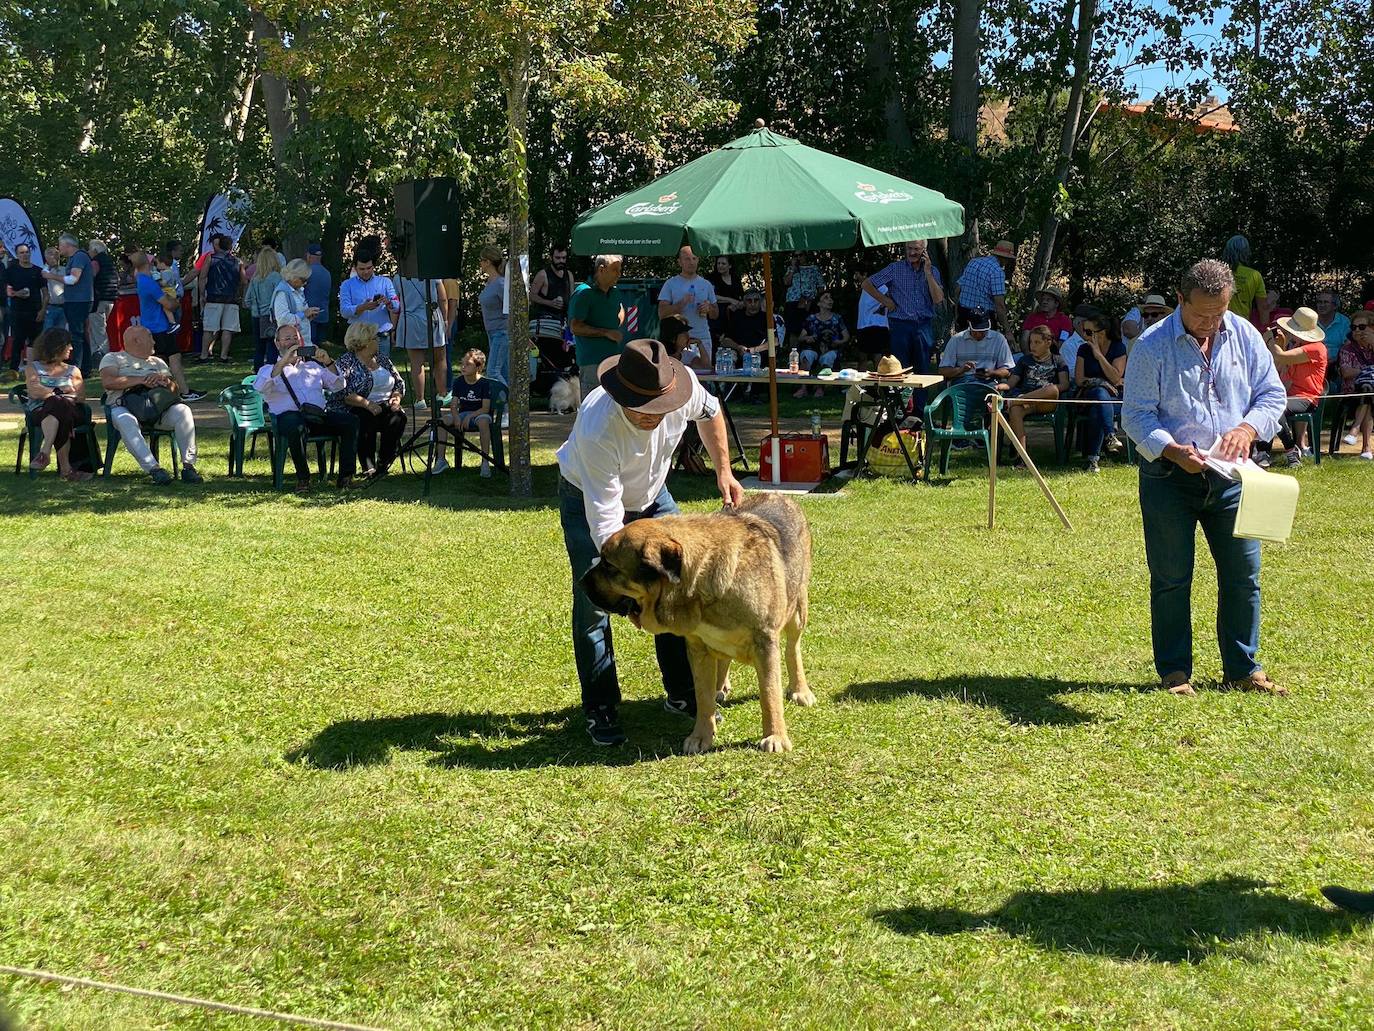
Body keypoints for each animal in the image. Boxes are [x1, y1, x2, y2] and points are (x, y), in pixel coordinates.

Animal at [574, 497, 807, 753]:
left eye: (609, 565)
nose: (581, 582)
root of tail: (781, 496)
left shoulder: (764, 642)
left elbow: (769, 692)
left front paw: (775, 737)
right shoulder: (698, 648)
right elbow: (703, 696)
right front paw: (700, 736)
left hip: (798, 610)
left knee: (792, 649)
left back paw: (800, 690)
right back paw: (721, 687)